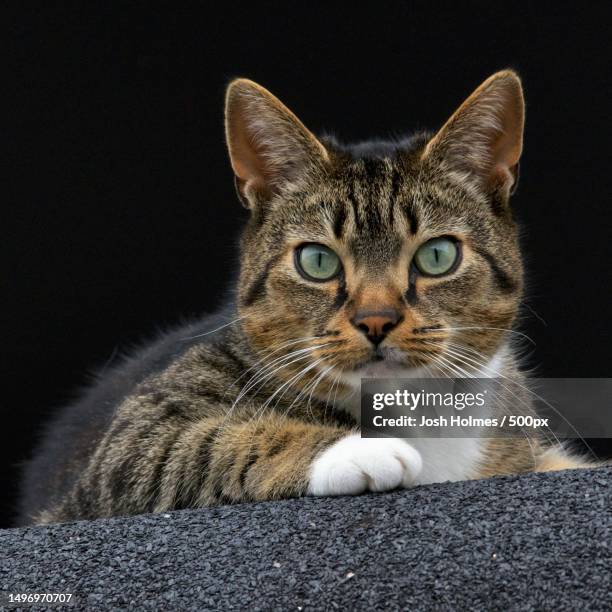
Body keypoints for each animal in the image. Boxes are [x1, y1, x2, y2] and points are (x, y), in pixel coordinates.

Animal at [17, 69, 592, 524]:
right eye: (317, 261)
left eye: (437, 255)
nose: (377, 320)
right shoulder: (129, 446)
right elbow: (200, 445)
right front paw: (356, 452)